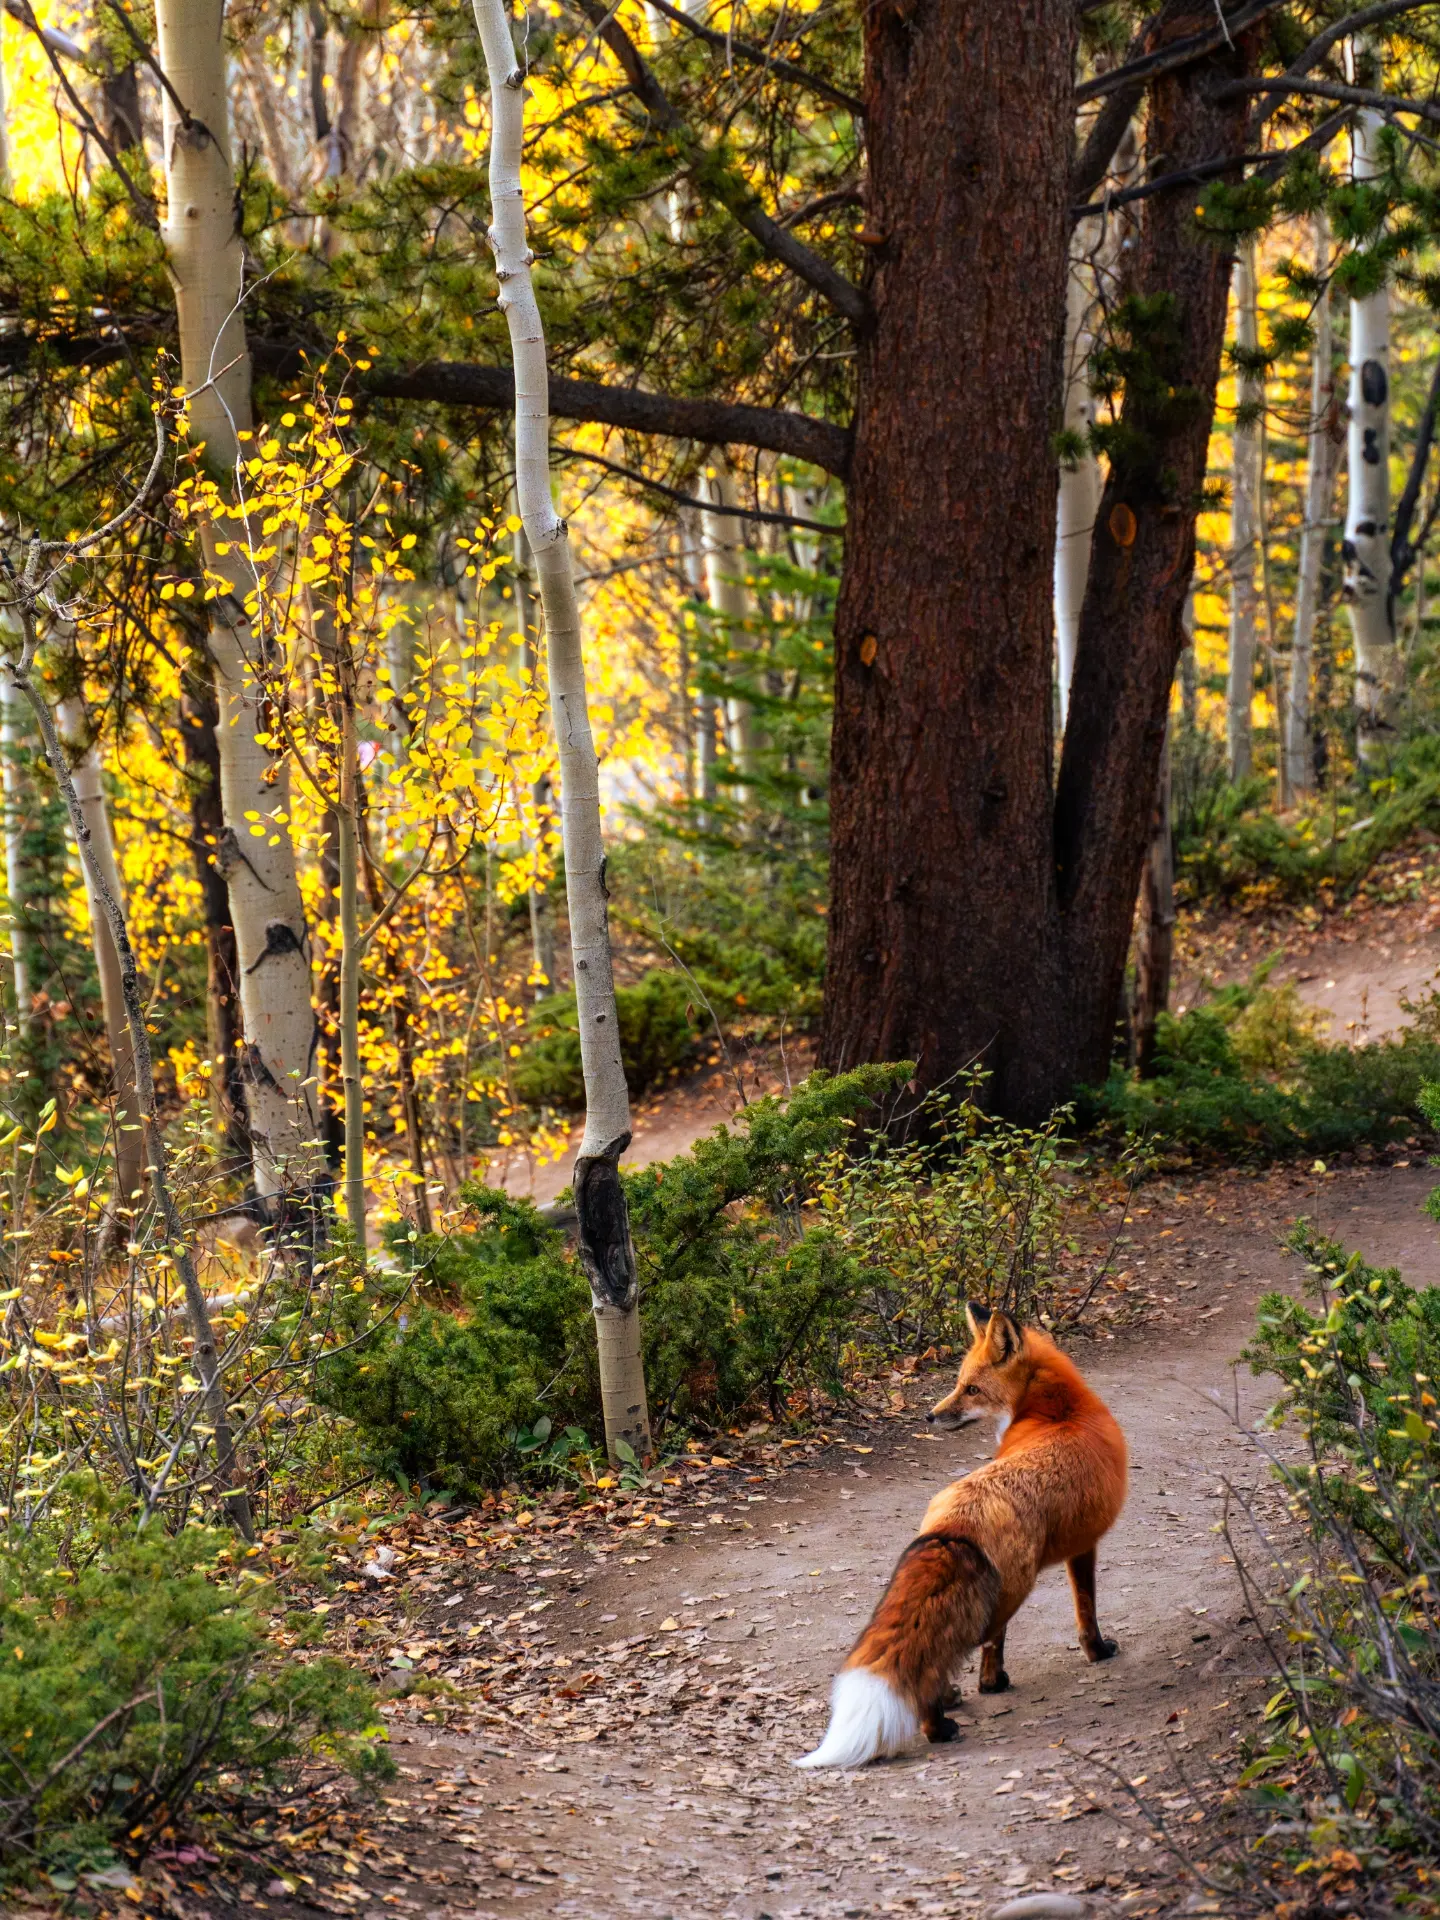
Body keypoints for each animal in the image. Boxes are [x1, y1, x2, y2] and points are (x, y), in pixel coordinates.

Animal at [795, 1301, 1128, 1769]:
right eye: (960, 1385)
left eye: (971, 1389)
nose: (929, 1415)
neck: (1061, 1413)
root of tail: (956, 1523)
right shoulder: (1084, 1547)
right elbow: (1087, 1611)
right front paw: (1097, 1652)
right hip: (1005, 1596)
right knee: (962, 1653)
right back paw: (943, 1723)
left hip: (990, 1594)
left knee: (951, 1655)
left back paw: (953, 1698)